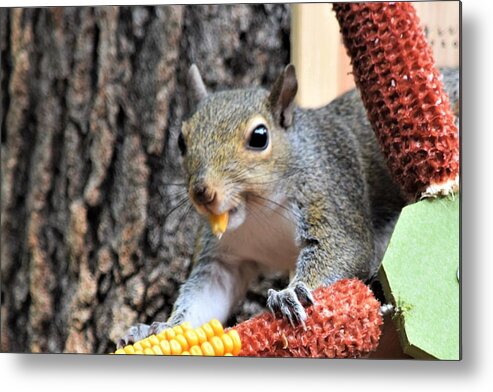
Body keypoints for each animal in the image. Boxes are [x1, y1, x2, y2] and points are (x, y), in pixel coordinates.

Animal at [117, 65, 460, 350]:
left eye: (259, 137)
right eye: (181, 140)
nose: (203, 193)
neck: (259, 211)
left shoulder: (330, 194)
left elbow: (342, 250)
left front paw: (290, 294)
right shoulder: (223, 257)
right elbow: (206, 294)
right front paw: (158, 329)